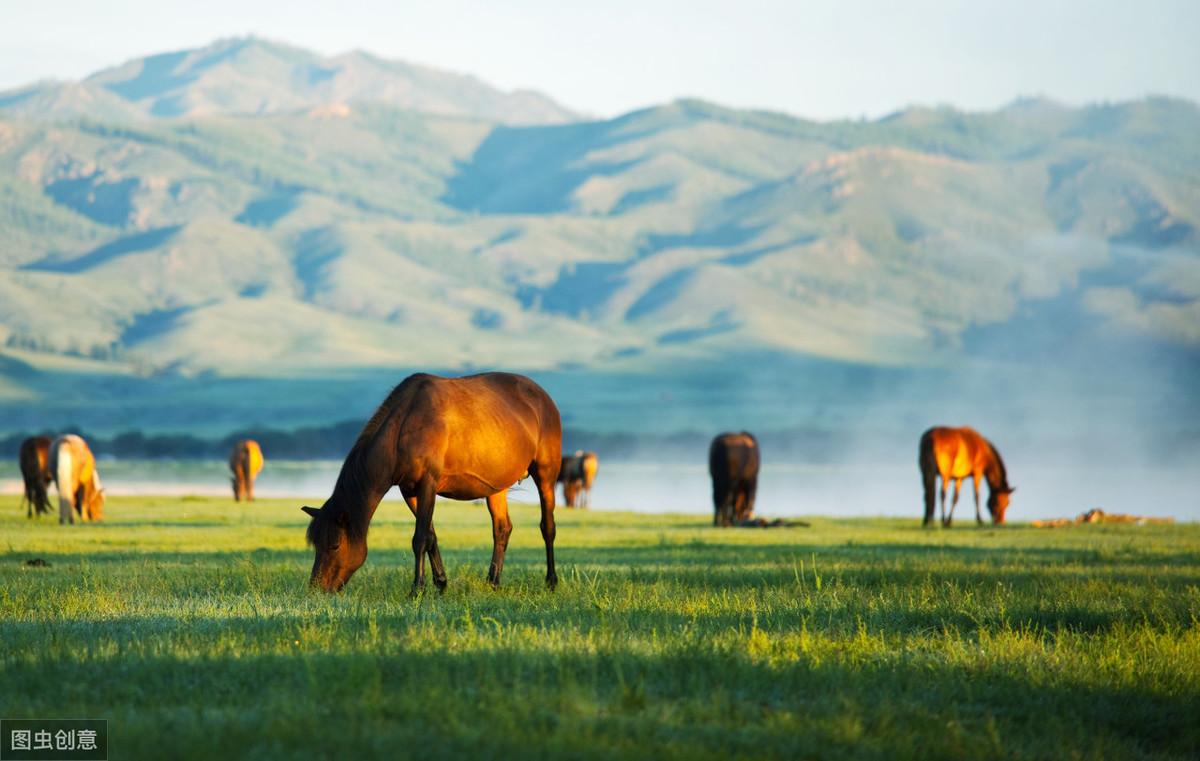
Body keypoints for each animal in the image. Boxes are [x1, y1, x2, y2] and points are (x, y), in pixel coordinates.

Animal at [300, 369, 561, 590]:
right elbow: (431, 536)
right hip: (497, 486)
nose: (317, 588)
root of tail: (542, 396)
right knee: (502, 529)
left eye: (335, 545)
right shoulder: (409, 490)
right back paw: (493, 581)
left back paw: (551, 581)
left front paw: (418, 588)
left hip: (546, 475)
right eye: (316, 544)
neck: (403, 427)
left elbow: (420, 539)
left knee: (547, 527)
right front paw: (441, 583)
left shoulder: (428, 484)